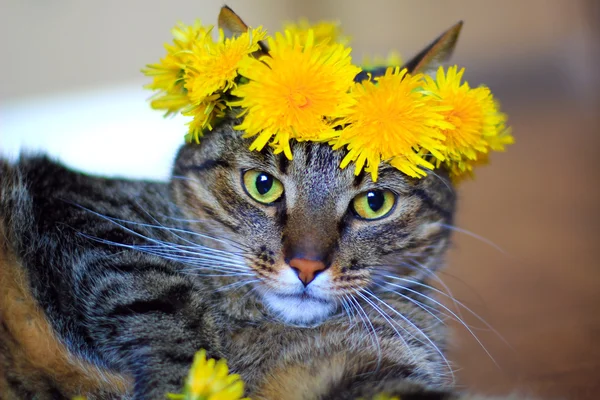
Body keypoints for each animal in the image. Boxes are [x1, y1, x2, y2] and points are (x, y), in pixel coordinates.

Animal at [0, 11, 496, 400]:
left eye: (375, 202)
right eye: (263, 185)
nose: (306, 266)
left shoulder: (356, 371)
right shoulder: (97, 219)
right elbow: (166, 312)